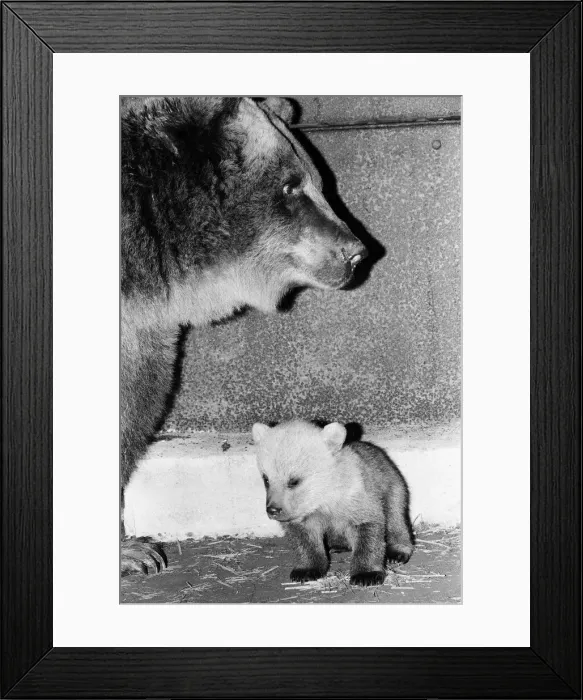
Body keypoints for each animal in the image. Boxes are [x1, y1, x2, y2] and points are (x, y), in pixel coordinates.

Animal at [121, 97, 368, 575]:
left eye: (319, 180)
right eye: (291, 186)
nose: (355, 251)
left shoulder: (140, 340)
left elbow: (133, 413)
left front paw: (136, 551)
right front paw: (135, 552)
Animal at [252, 420, 414, 586]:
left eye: (294, 480)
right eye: (266, 479)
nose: (273, 510)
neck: (323, 497)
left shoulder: (356, 496)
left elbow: (368, 530)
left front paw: (366, 574)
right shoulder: (303, 513)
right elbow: (304, 538)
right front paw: (306, 570)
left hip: (391, 483)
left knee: (395, 516)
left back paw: (397, 552)